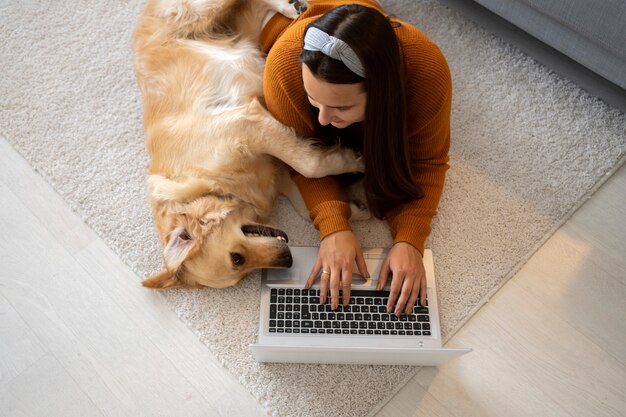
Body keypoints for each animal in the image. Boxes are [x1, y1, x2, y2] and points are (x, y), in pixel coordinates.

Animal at [133, 0, 364, 290]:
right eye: (242, 269)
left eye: (236, 258)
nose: (288, 259)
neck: (213, 186)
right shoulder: (273, 165)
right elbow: (306, 200)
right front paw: (354, 206)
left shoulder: (246, 124)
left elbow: (309, 165)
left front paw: (354, 162)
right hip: (240, 34)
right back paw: (293, 8)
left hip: (198, 12)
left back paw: (293, 8)